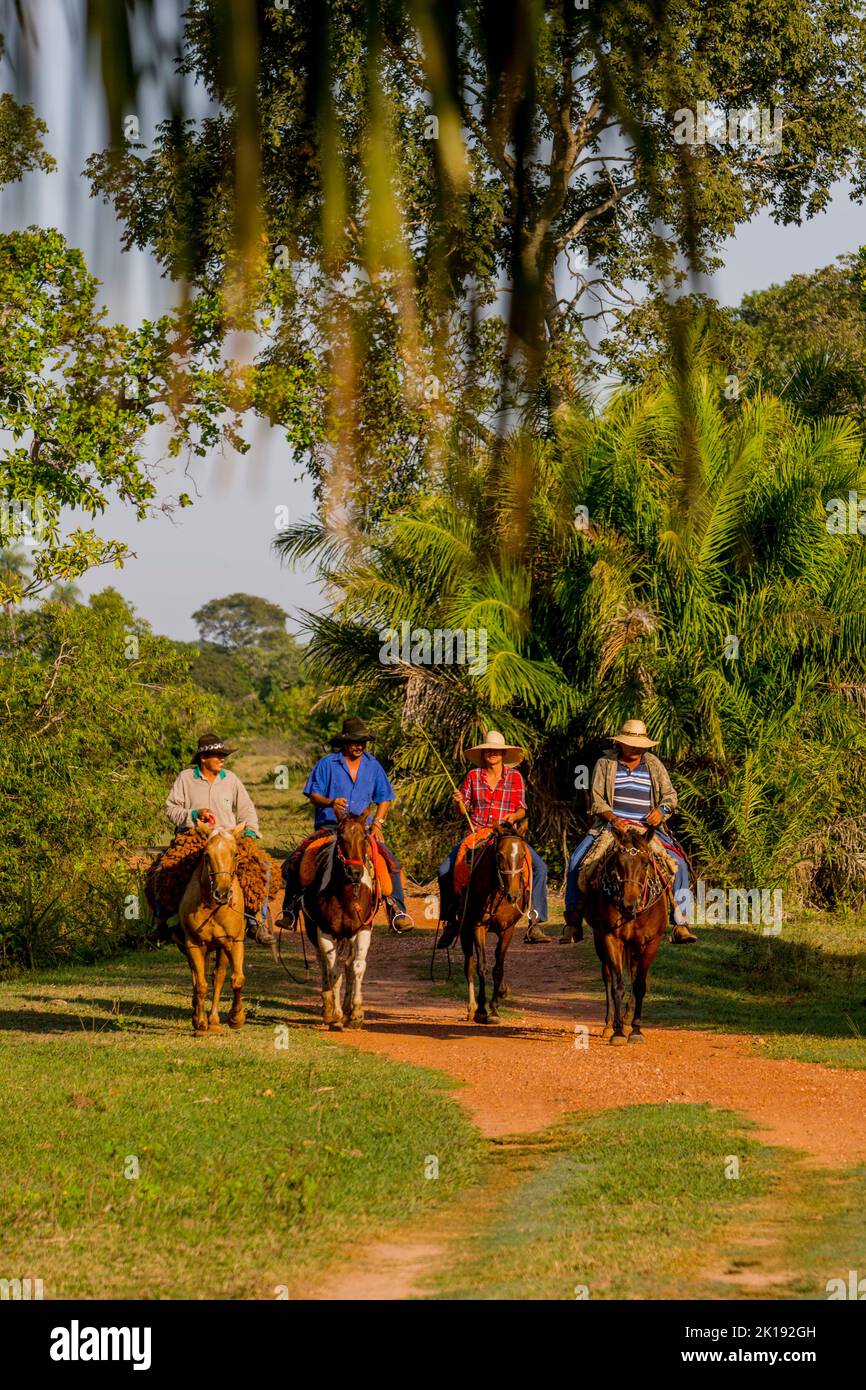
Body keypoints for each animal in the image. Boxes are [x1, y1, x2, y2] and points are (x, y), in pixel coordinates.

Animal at [177, 822, 248, 1034]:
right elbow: (200, 984)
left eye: (235, 853)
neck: (214, 908)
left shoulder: (235, 942)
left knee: (218, 977)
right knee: (197, 977)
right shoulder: (193, 944)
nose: (222, 893)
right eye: (206, 855)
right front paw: (200, 1023)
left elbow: (237, 979)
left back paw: (215, 1020)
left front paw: (236, 1018)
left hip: (221, 947)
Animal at [301, 811, 378, 1028]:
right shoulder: (325, 932)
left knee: (349, 964)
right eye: (341, 838)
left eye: (365, 837)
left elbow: (357, 967)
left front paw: (356, 1013)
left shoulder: (363, 929)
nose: (355, 873)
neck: (345, 895)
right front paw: (335, 1014)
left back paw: (347, 1008)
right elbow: (333, 972)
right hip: (312, 930)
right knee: (323, 963)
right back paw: (328, 1008)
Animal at [458, 822, 530, 1023]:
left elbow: (498, 967)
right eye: (500, 855)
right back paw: (472, 1008)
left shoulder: (508, 929)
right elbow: (481, 966)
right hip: (465, 931)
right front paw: (482, 1010)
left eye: (522, 855)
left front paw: (495, 1008)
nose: (513, 895)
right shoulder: (478, 927)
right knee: (469, 965)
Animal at [589, 822, 670, 1045]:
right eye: (618, 864)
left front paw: (635, 1030)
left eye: (645, 863)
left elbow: (639, 985)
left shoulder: (651, 942)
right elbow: (618, 984)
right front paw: (617, 1032)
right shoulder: (611, 938)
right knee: (607, 975)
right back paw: (610, 1025)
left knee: (633, 974)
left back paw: (627, 1019)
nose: (628, 905)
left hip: (635, 946)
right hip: (600, 939)